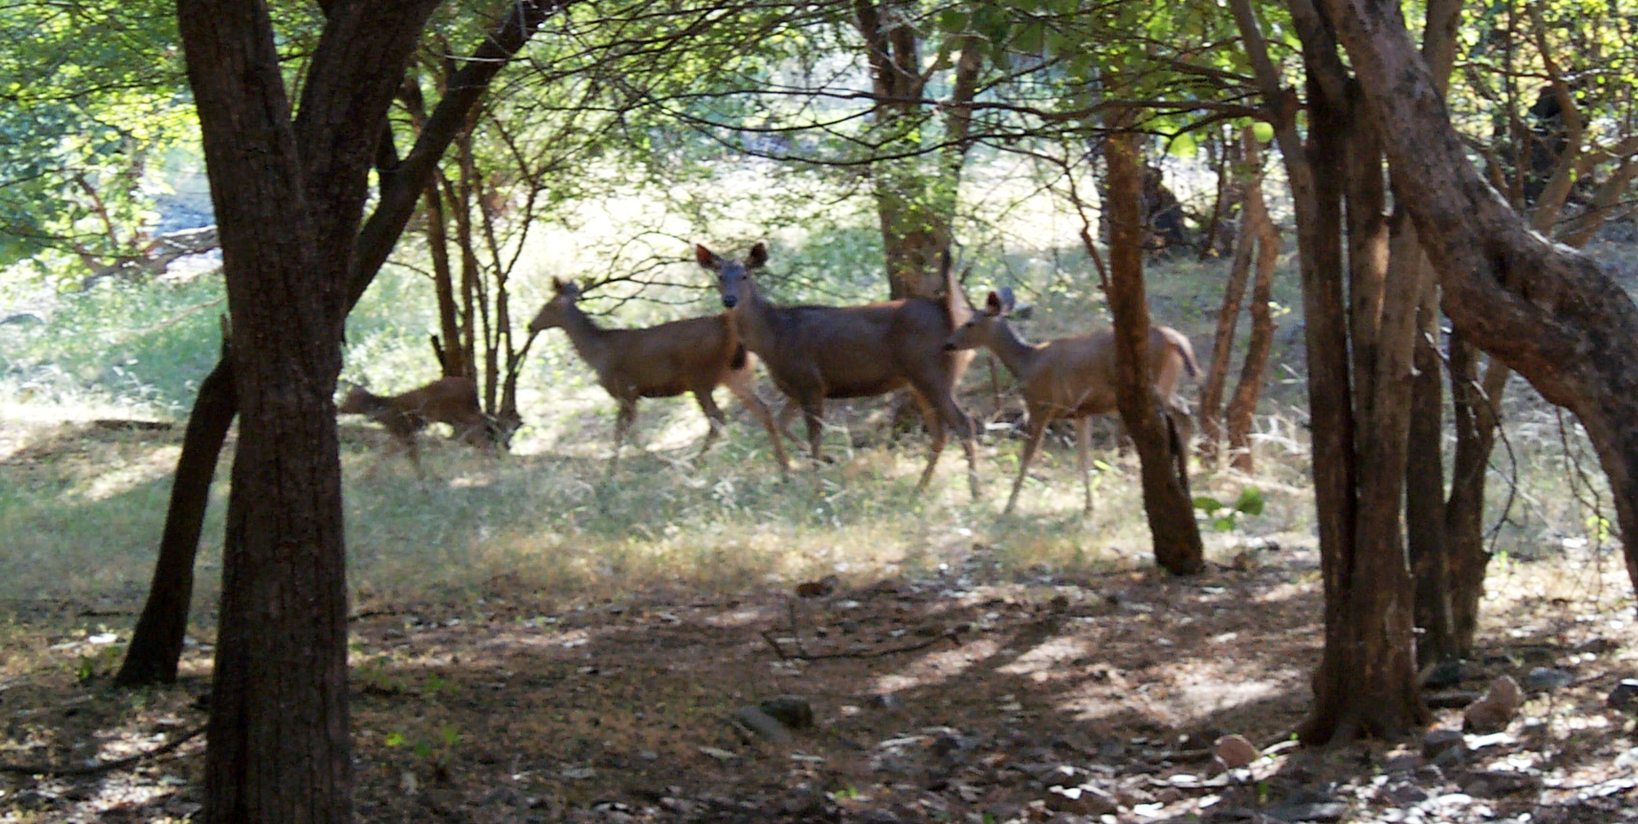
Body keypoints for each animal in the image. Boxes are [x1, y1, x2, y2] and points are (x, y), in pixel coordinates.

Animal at [339, 375, 497, 478]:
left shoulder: (404, 430)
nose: (339, 407)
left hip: (455, 412)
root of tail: (472, 386)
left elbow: (411, 454)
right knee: (478, 425)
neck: (384, 411)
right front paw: (367, 477)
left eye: (350, 399)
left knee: (480, 421)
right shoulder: (400, 433)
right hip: (455, 415)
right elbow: (388, 453)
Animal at [527, 276, 789, 475]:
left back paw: (697, 464)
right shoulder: (632, 395)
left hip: (700, 377)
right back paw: (784, 465)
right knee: (762, 410)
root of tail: (729, 328)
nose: (530, 325)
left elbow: (622, 433)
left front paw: (615, 470)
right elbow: (630, 432)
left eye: (548, 306)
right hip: (735, 375)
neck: (597, 352)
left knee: (718, 418)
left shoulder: (626, 390)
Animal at [697, 239, 976, 498]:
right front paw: (827, 461)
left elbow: (814, 436)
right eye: (719, 276)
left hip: (931, 372)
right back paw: (919, 489)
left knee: (962, 423)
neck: (773, 339)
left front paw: (819, 486)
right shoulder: (798, 388)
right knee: (940, 434)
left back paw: (974, 492)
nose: (729, 300)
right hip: (920, 379)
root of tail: (946, 309)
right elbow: (781, 424)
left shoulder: (809, 381)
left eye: (745, 275)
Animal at [943, 286, 1199, 514]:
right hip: (1167, 384)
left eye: (970, 323)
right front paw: (1089, 506)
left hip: (1153, 385)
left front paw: (1009, 505)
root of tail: (1175, 338)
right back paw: (1184, 478)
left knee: (1179, 418)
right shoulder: (1080, 411)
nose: (948, 343)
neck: (1027, 362)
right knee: (1185, 412)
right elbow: (1084, 458)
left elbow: (1028, 455)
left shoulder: (1040, 405)